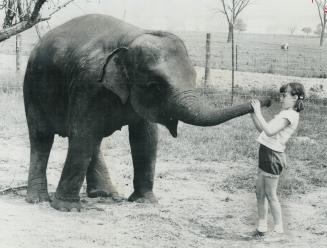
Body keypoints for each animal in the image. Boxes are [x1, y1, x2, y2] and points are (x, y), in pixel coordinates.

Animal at [23, 14, 272, 211]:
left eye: (194, 76)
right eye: (155, 85)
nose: (267, 100)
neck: (130, 39)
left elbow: (145, 139)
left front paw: (145, 202)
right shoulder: (89, 83)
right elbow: (82, 134)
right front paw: (67, 209)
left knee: (92, 140)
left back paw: (105, 194)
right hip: (32, 88)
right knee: (43, 138)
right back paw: (37, 199)